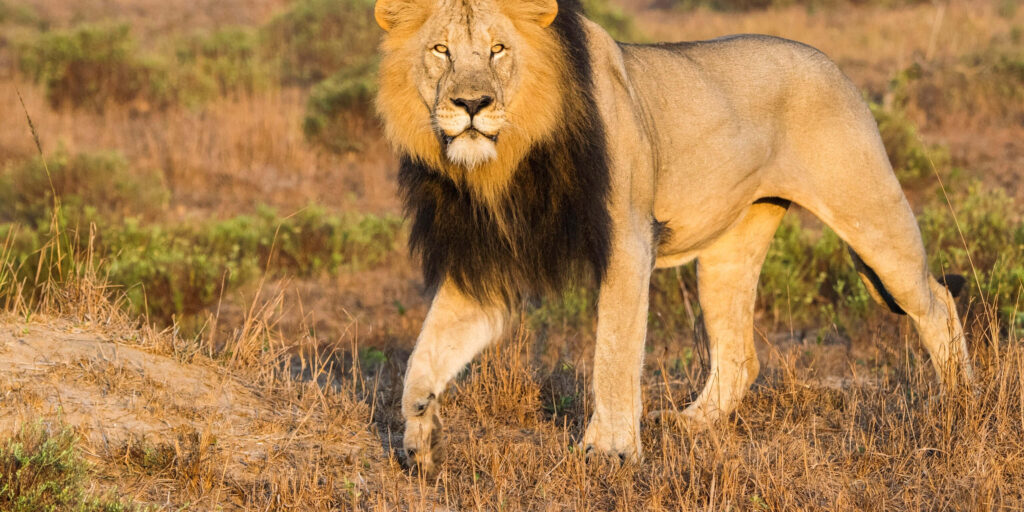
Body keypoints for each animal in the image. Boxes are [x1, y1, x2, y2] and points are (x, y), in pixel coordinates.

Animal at [373, 0, 974, 474]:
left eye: (498, 49)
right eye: (441, 50)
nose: (471, 106)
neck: (508, 159)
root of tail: (828, 62)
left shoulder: (628, 239)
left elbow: (614, 351)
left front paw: (610, 453)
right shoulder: (490, 260)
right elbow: (424, 356)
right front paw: (420, 438)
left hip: (871, 213)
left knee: (937, 300)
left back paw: (959, 407)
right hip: (730, 251)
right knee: (740, 355)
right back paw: (690, 424)